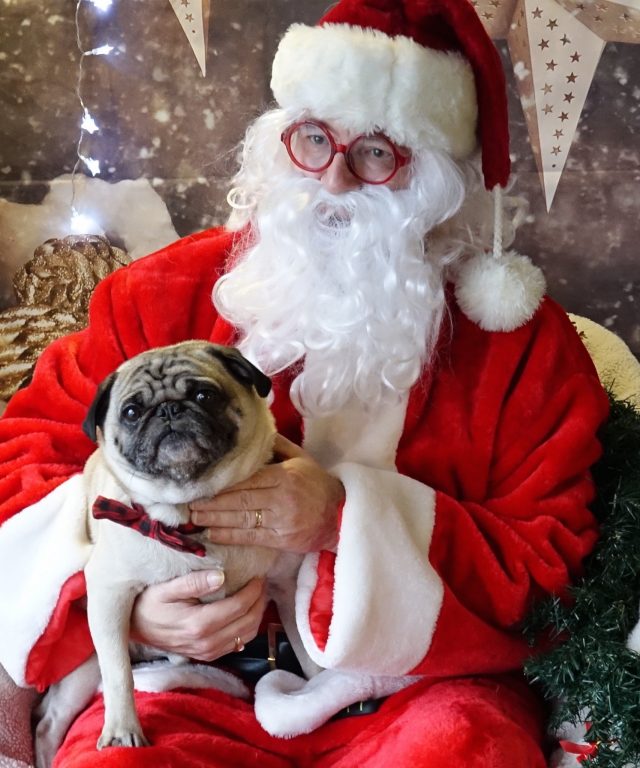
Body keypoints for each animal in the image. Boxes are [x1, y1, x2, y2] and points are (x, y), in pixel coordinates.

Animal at [34, 342, 316, 760]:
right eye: (131, 412)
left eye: (204, 395)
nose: (168, 410)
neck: (191, 517)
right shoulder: (108, 593)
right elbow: (118, 674)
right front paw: (122, 730)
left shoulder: (285, 584)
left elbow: (305, 646)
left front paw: (322, 689)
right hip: (83, 667)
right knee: (50, 721)